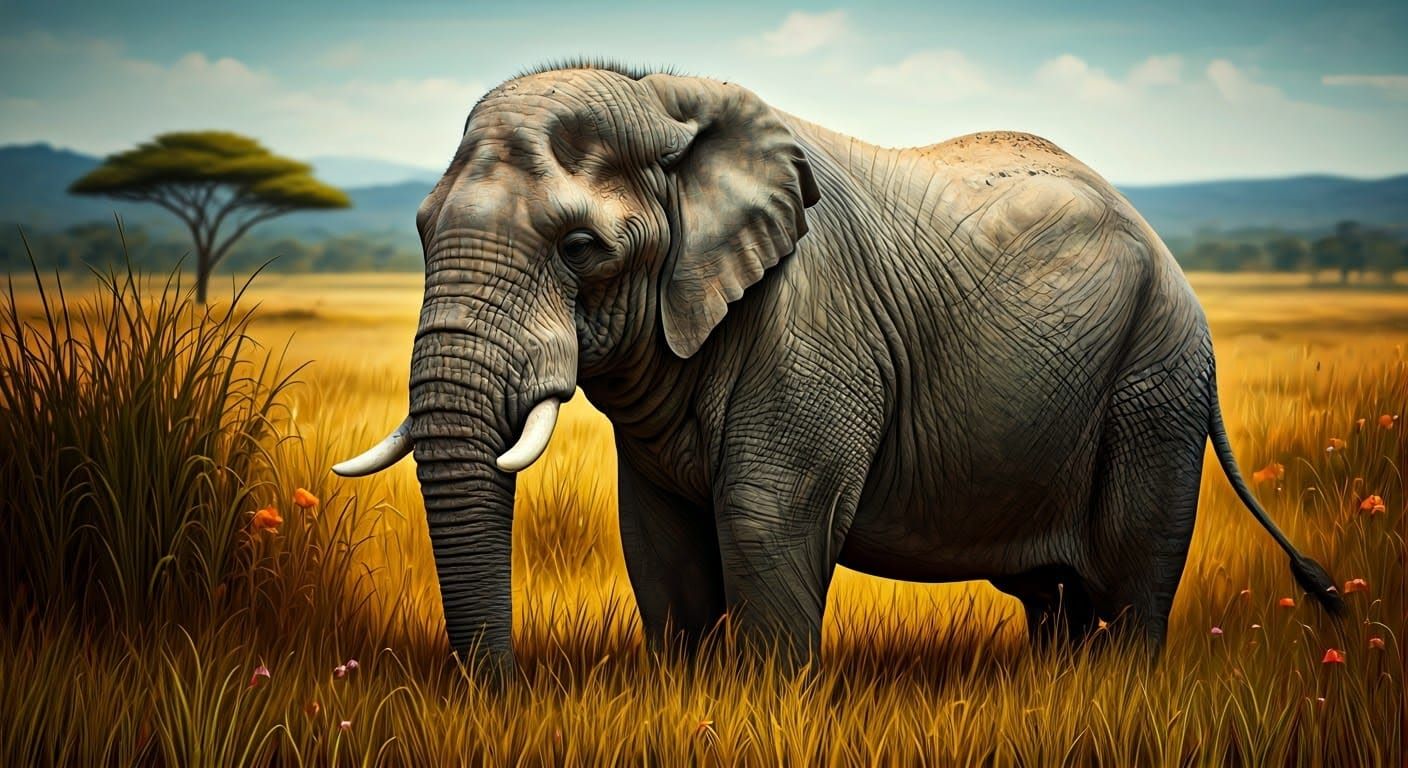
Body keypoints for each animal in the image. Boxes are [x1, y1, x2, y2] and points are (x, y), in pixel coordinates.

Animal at [333, 61, 1342, 673]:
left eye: (582, 248)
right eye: (420, 230)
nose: (498, 690)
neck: (660, 98)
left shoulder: (811, 326)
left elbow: (764, 519)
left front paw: (763, 711)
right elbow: (658, 540)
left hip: (1155, 380)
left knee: (1131, 580)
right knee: (1055, 596)